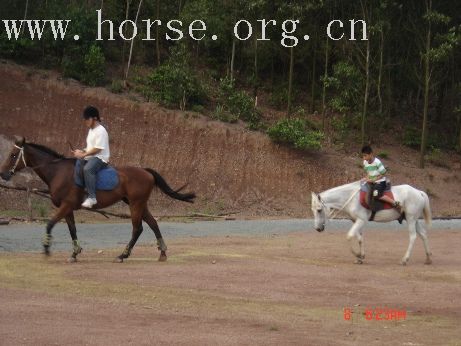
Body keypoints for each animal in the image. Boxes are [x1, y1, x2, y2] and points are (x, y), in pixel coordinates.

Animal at [0, 137, 195, 260]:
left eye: (13, 155)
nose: (3, 174)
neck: (58, 172)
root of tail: (146, 171)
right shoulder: (68, 208)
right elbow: (72, 230)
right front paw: (75, 253)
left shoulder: (65, 205)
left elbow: (50, 224)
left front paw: (47, 249)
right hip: (138, 203)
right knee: (153, 223)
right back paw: (162, 253)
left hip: (135, 204)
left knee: (137, 228)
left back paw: (123, 255)